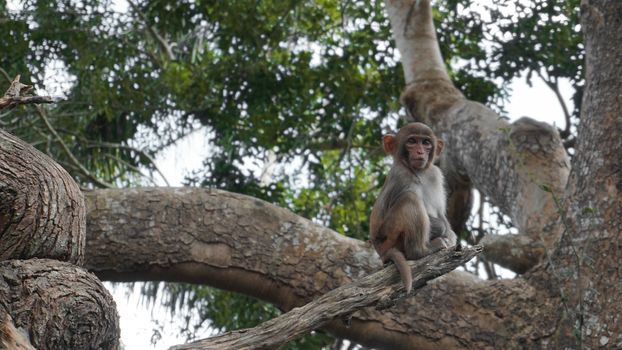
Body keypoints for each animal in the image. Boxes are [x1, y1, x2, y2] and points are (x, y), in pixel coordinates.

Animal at [370, 122, 458, 292]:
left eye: (426, 143)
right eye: (412, 141)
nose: (420, 151)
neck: (417, 172)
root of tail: (380, 251)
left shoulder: (435, 174)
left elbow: (441, 214)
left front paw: (450, 237)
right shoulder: (402, 176)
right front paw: (442, 231)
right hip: (389, 239)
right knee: (410, 199)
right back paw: (420, 251)